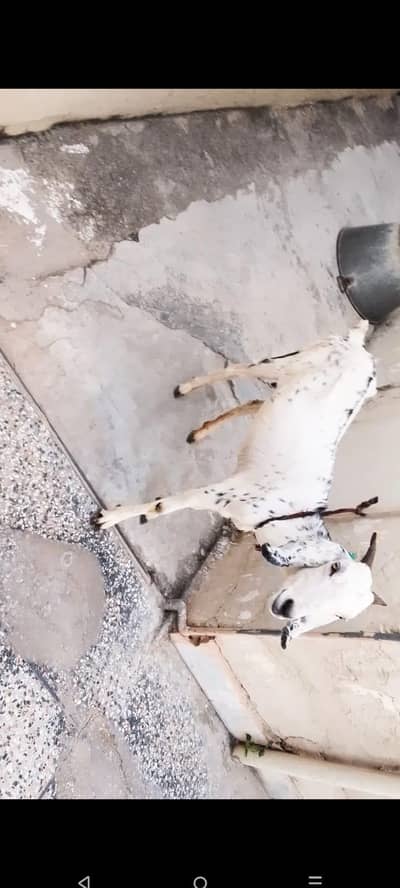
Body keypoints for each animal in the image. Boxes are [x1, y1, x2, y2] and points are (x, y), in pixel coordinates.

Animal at [94, 319, 385, 647]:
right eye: (334, 568)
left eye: (340, 616)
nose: (287, 608)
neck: (283, 516)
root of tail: (359, 345)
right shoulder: (222, 493)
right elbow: (166, 504)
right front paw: (110, 517)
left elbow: (162, 506)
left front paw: (126, 515)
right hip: (284, 363)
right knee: (238, 369)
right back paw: (187, 388)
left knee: (257, 402)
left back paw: (200, 432)